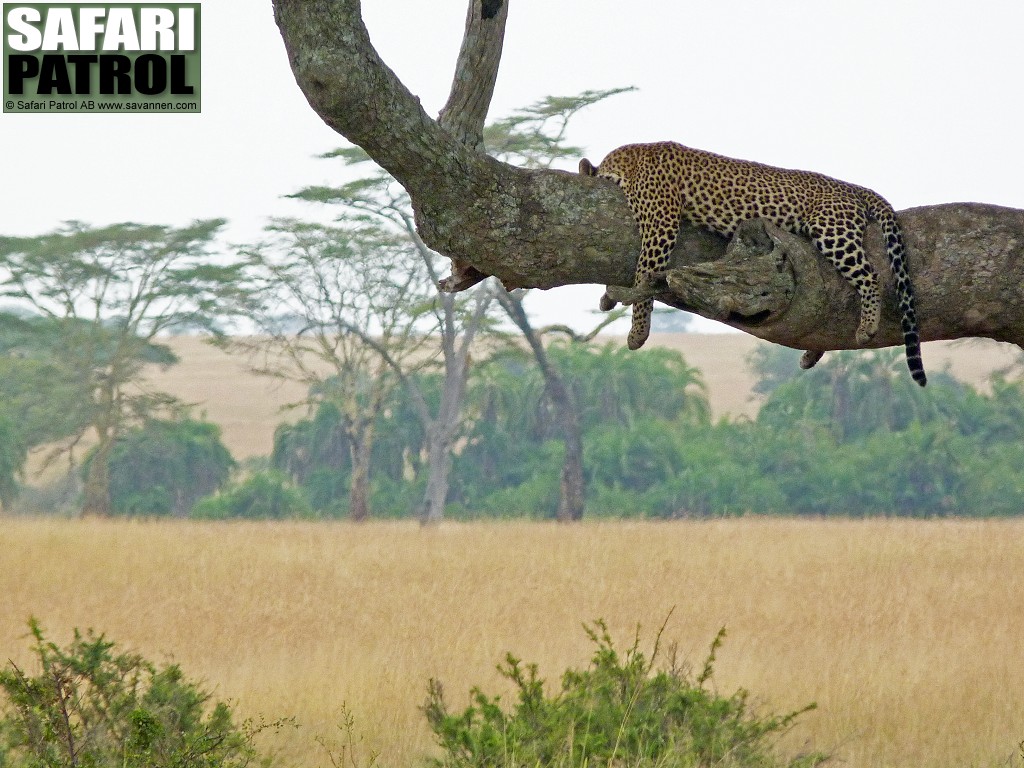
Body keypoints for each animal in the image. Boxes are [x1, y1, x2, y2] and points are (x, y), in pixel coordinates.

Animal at [577, 140, 929, 385]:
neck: (624, 162)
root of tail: (855, 188)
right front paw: (608, 299)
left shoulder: (660, 225)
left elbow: (644, 278)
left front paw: (637, 332)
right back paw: (812, 353)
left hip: (833, 232)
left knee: (871, 278)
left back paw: (867, 326)